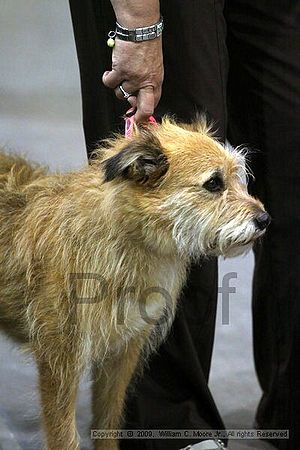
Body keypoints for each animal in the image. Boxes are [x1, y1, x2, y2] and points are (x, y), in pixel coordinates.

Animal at [0, 118, 270, 448]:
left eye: (235, 177)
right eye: (213, 184)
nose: (265, 219)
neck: (128, 241)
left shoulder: (123, 352)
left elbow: (108, 418)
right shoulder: (60, 359)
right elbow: (63, 434)